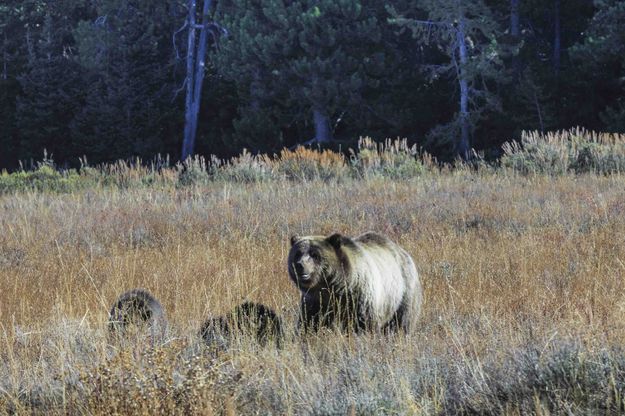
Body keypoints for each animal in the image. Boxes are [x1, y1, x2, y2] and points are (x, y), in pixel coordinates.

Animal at [286, 232, 420, 334]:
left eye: (315, 255)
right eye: (297, 253)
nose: (300, 265)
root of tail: (403, 251)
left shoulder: (359, 297)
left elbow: (364, 324)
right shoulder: (315, 301)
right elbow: (310, 323)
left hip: (403, 292)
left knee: (401, 321)